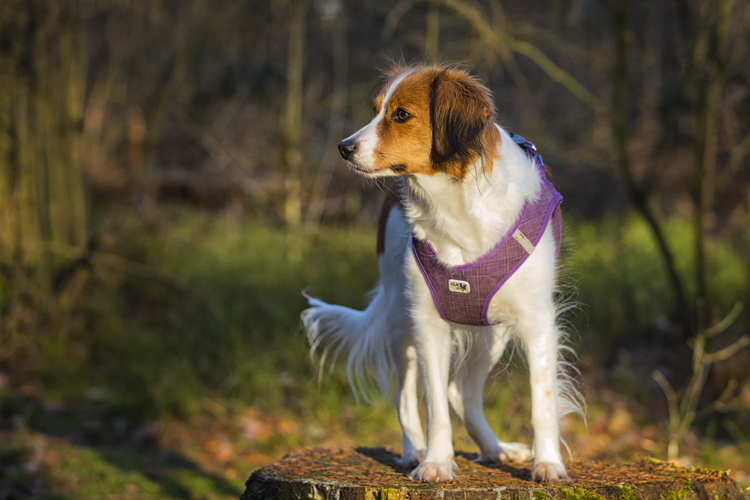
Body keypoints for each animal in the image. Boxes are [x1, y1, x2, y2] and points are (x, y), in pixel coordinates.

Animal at [302, 64, 584, 482]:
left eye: (401, 114)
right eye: (375, 110)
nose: (343, 146)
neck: (457, 207)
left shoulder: (537, 321)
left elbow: (542, 401)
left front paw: (548, 463)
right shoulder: (428, 324)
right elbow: (434, 404)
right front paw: (436, 461)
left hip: (494, 329)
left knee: (461, 392)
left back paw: (496, 449)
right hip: (400, 322)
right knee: (407, 395)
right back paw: (415, 451)